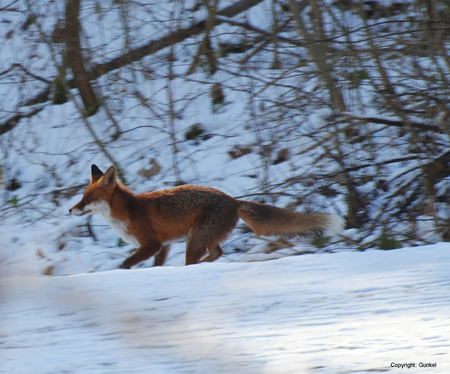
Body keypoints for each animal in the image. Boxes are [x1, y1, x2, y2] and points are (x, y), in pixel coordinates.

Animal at [68, 165, 342, 268]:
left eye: (87, 199)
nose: (70, 210)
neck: (127, 212)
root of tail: (233, 200)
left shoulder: (151, 244)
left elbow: (126, 263)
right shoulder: (163, 246)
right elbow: (156, 265)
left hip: (194, 239)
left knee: (202, 257)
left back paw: (195, 266)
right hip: (201, 238)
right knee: (217, 252)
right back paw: (203, 264)